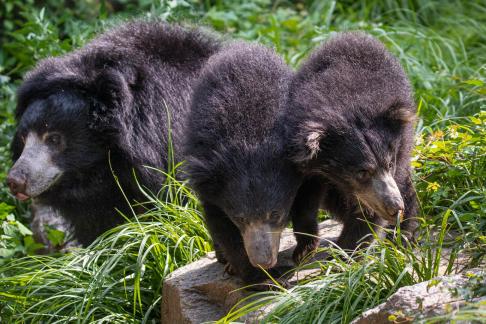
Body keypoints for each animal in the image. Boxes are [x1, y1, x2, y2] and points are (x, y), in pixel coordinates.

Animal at [184, 43, 302, 284]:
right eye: (239, 218)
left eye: (275, 214)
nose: (263, 261)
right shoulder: (210, 186)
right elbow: (223, 228)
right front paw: (260, 278)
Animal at [284, 31, 418, 252]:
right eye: (362, 172)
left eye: (389, 164)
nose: (394, 207)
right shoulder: (305, 158)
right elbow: (304, 195)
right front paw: (307, 247)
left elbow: (367, 213)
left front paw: (346, 251)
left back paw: (404, 235)